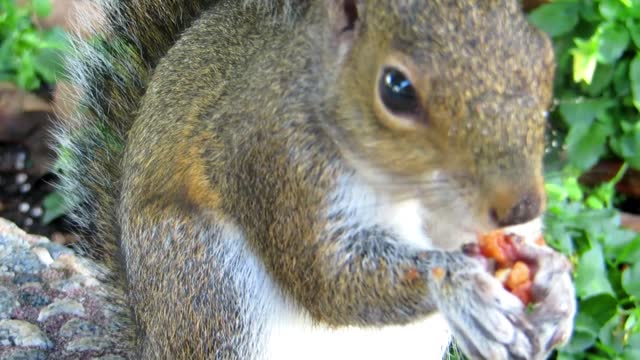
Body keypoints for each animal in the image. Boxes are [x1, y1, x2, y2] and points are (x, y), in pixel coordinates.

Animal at [53, 0, 576, 358]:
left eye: (544, 57)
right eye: (396, 89)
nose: (523, 204)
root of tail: (148, 340)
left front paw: (555, 281)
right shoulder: (276, 162)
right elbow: (328, 281)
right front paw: (459, 285)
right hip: (205, 283)